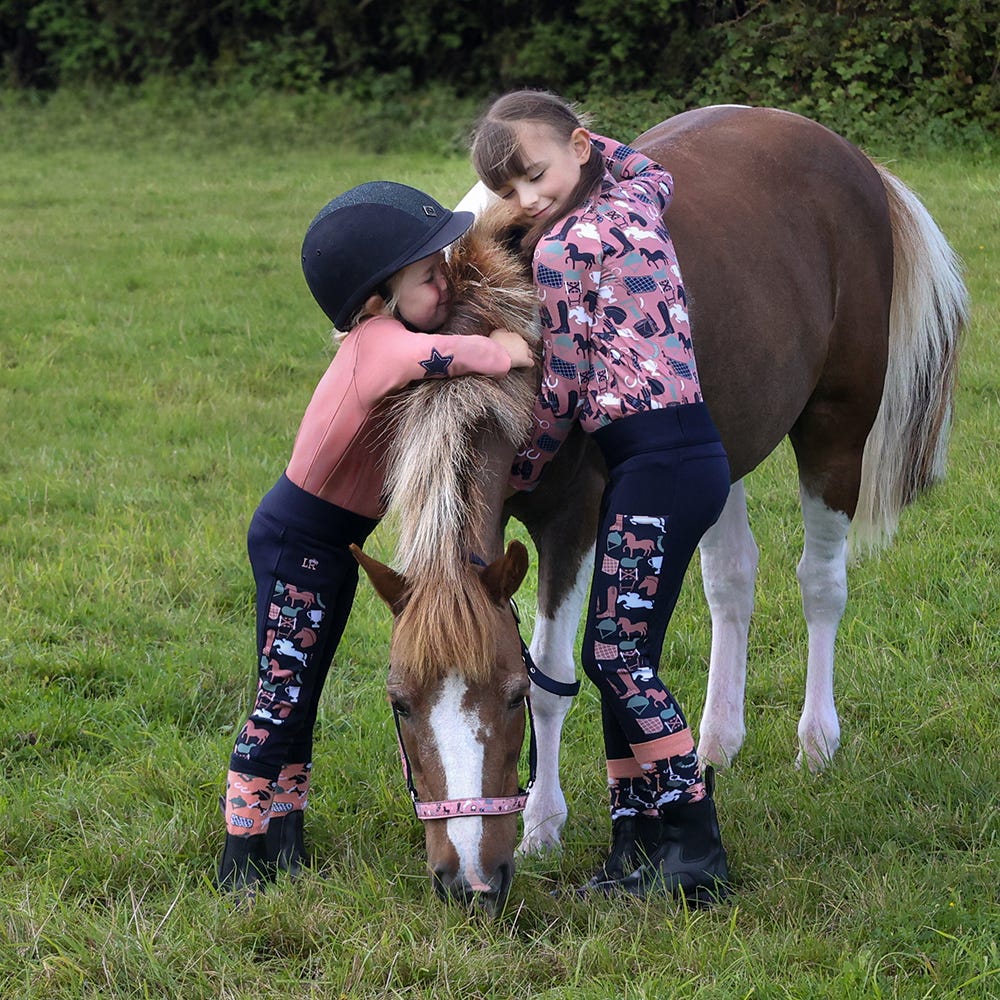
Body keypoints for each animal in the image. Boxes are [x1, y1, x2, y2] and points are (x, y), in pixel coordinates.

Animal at [354, 105, 968, 912]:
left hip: (837, 430)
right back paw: (716, 745)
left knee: (821, 584)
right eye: (400, 704)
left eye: (509, 697)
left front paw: (543, 825)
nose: (470, 880)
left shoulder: (572, 524)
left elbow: (558, 676)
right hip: (727, 443)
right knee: (732, 582)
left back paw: (816, 742)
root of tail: (854, 159)